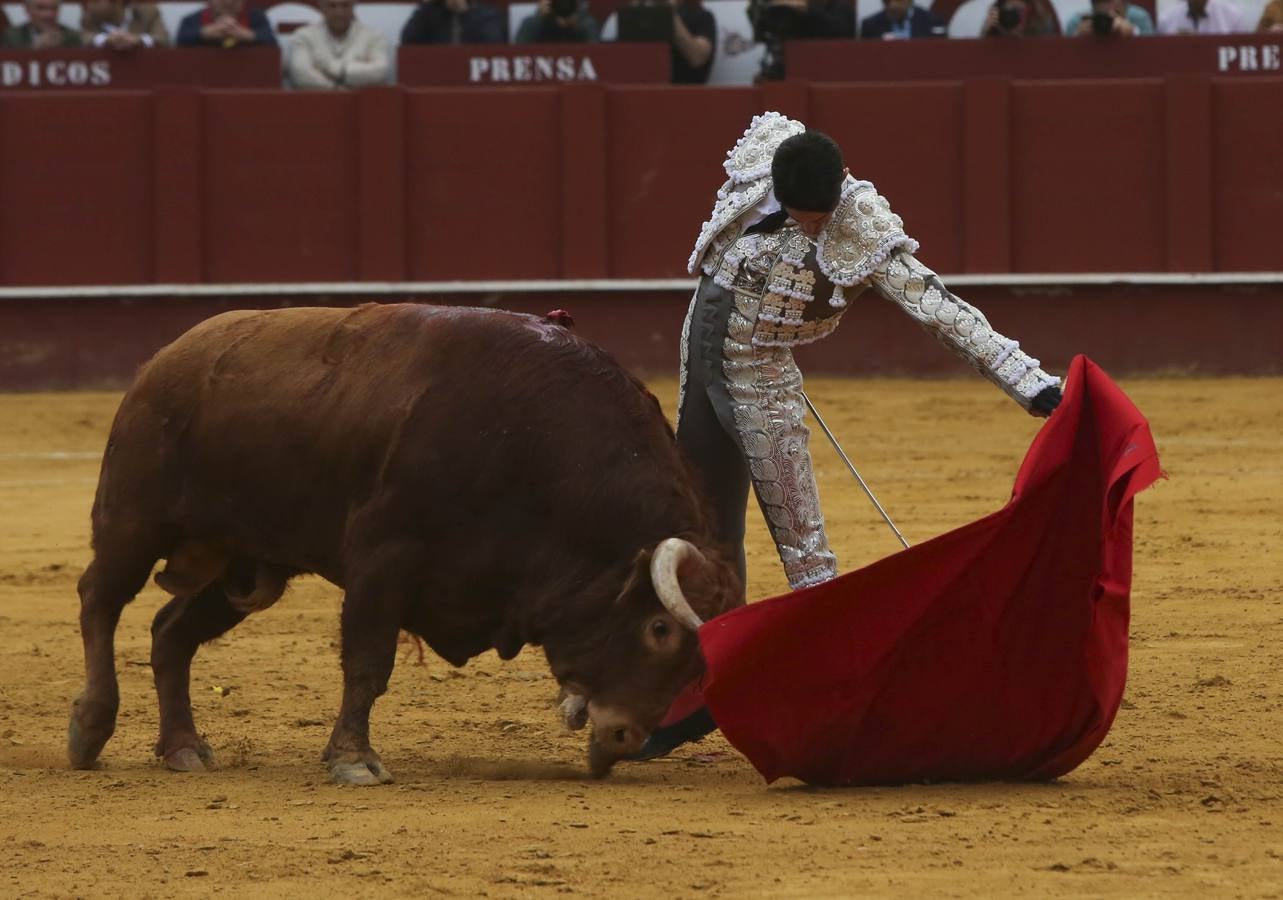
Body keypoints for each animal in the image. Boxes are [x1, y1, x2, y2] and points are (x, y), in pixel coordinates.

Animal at [67, 301, 744, 780]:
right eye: (659, 629)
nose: (627, 738)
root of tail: (165, 359)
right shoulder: (382, 559)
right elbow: (369, 664)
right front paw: (353, 760)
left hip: (243, 569)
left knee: (170, 632)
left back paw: (183, 748)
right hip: (134, 521)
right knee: (100, 599)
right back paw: (90, 730)